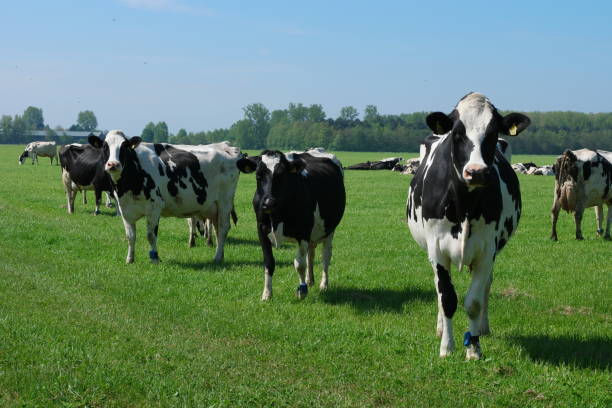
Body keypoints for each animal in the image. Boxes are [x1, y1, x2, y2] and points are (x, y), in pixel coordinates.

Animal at [101, 131, 245, 264]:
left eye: (124, 146)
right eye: (105, 147)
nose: (113, 164)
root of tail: (228, 147)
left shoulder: (154, 207)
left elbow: (151, 235)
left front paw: (155, 258)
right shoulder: (125, 209)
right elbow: (130, 236)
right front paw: (130, 259)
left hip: (225, 202)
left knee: (223, 228)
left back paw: (217, 257)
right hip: (213, 208)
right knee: (217, 229)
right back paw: (220, 255)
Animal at [238, 148, 346, 302]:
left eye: (282, 175)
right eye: (258, 175)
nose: (269, 202)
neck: (277, 216)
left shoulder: (303, 232)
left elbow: (299, 265)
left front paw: (302, 291)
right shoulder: (261, 230)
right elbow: (269, 263)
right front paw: (266, 294)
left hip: (330, 230)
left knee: (325, 256)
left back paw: (323, 285)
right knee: (311, 253)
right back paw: (309, 279)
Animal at [406, 93, 532, 360]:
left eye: (493, 133)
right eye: (457, 133)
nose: (477, 172)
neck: (464, 204)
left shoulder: (486, 251)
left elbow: (473, 301)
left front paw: (473, 349)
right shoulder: (437, 249)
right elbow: (447, 298)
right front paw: (447, 347)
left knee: (486, 287)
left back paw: (483, 328)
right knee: (439, 291)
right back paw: (440, 328)